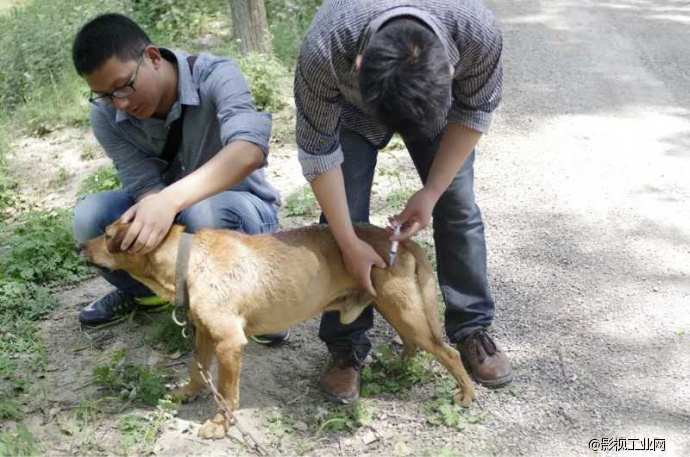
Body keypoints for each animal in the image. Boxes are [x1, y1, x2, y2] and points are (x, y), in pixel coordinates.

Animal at [82, 221, 472, 438]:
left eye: (107, 233)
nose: (81, 245)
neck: (188, 259)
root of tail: (402, 240)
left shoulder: (228, 342)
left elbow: (226, 394)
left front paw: (220, 426)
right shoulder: (204, 333)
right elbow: (196, 368)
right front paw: (188, 392)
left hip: (402, 310)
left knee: (449, 352)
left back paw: (466, 394)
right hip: (396, 310)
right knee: (414, 345)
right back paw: (397, 369)